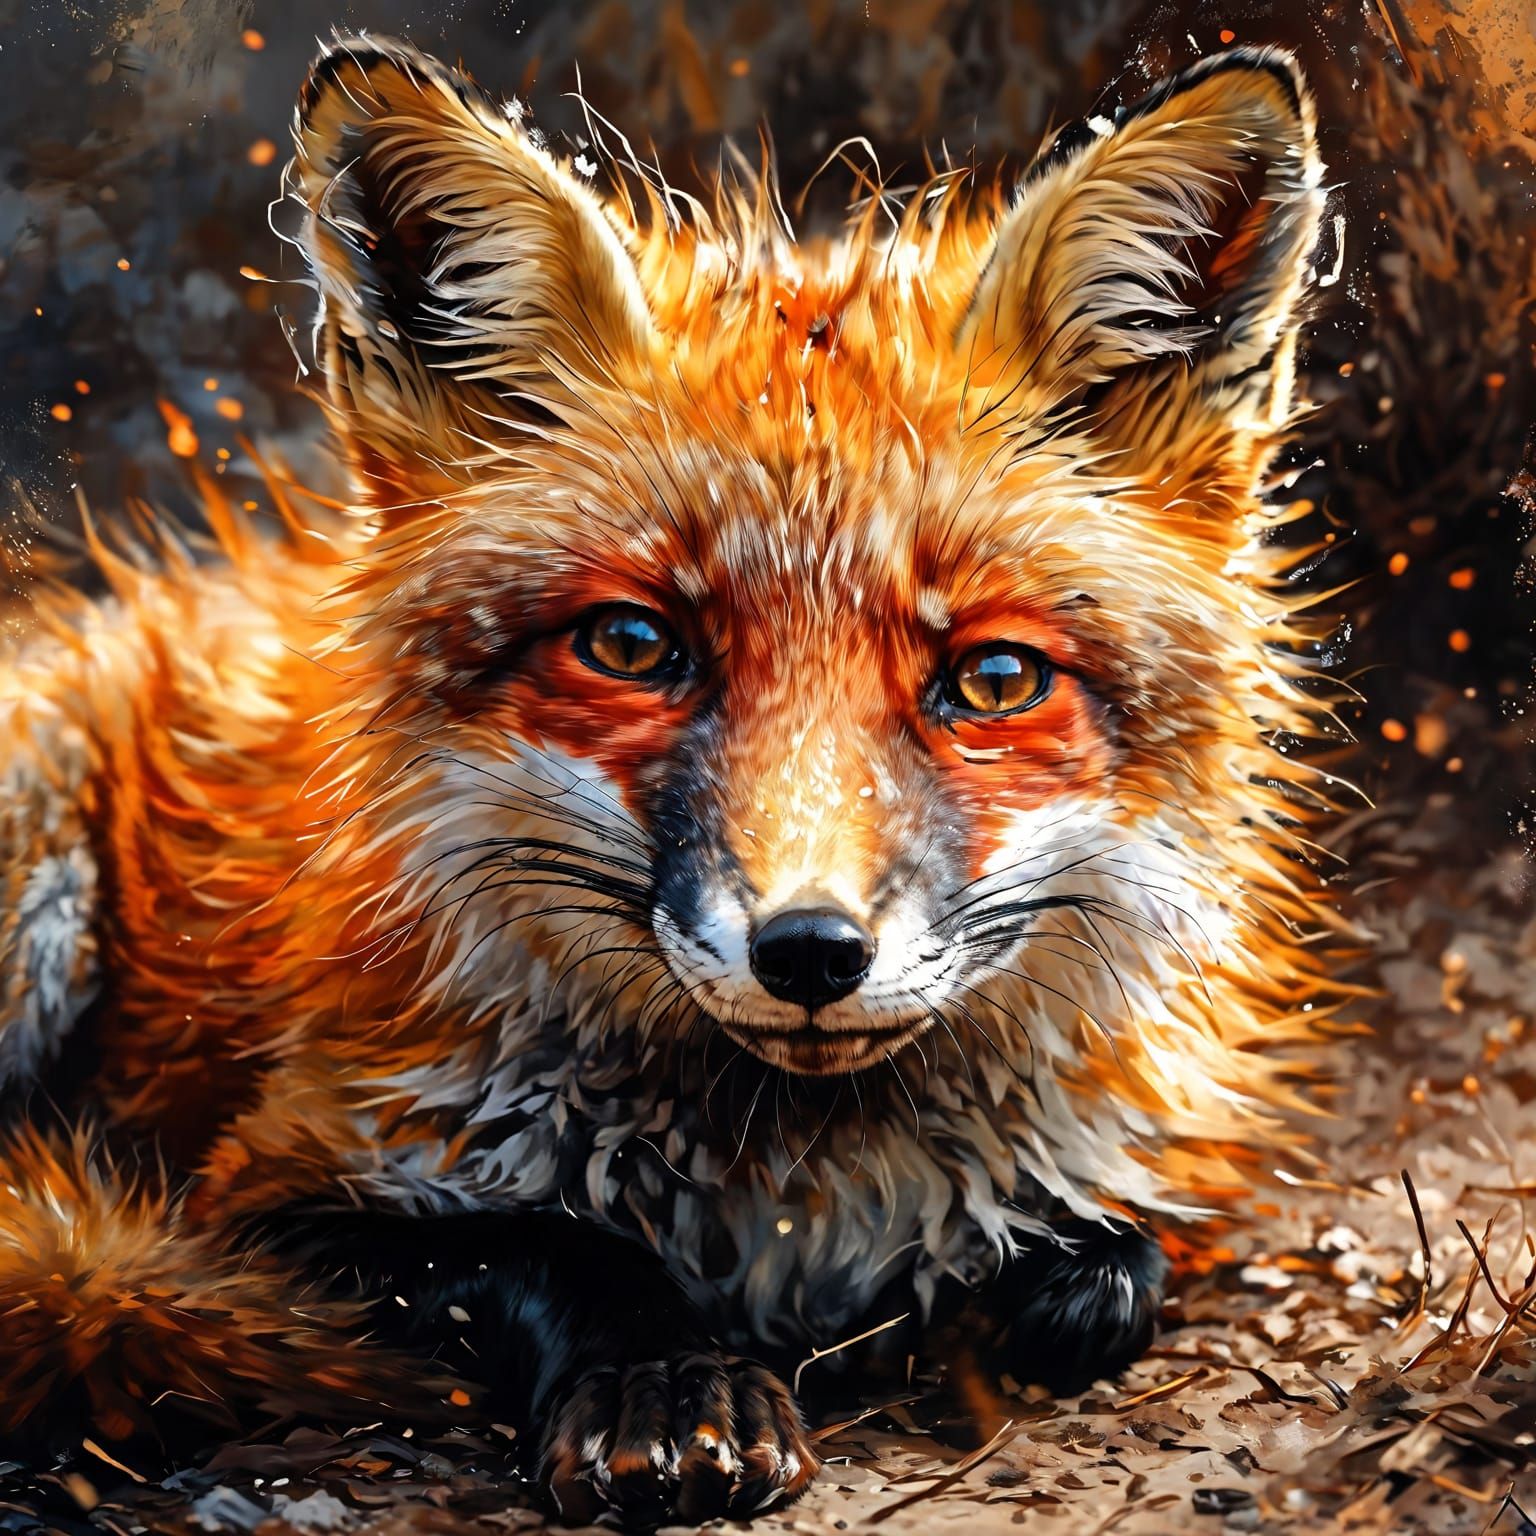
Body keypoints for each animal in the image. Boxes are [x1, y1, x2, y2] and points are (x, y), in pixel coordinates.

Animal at [0, 33, 1337, 1528]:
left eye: (993, 679)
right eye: (636, 646)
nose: (810, 952)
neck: (791, 1189)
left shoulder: (1140, 1177)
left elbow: (1107, 1274)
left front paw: (964, 1313)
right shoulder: (270, 1181)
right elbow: (547, 1247)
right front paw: (669, 1382)